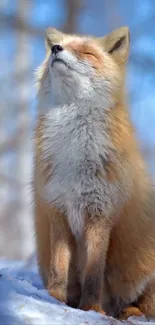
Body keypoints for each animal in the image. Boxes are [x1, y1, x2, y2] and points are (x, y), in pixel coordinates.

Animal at [33, 26, 155, 318]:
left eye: (87, 53)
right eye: (57, 46)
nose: (56, 49)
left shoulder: (101, 214)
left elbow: (94, 273)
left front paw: (91, 308)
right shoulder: (58, 211)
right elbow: (58, 267)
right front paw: (54, 298)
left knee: (145, 305)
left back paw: (129, 312)